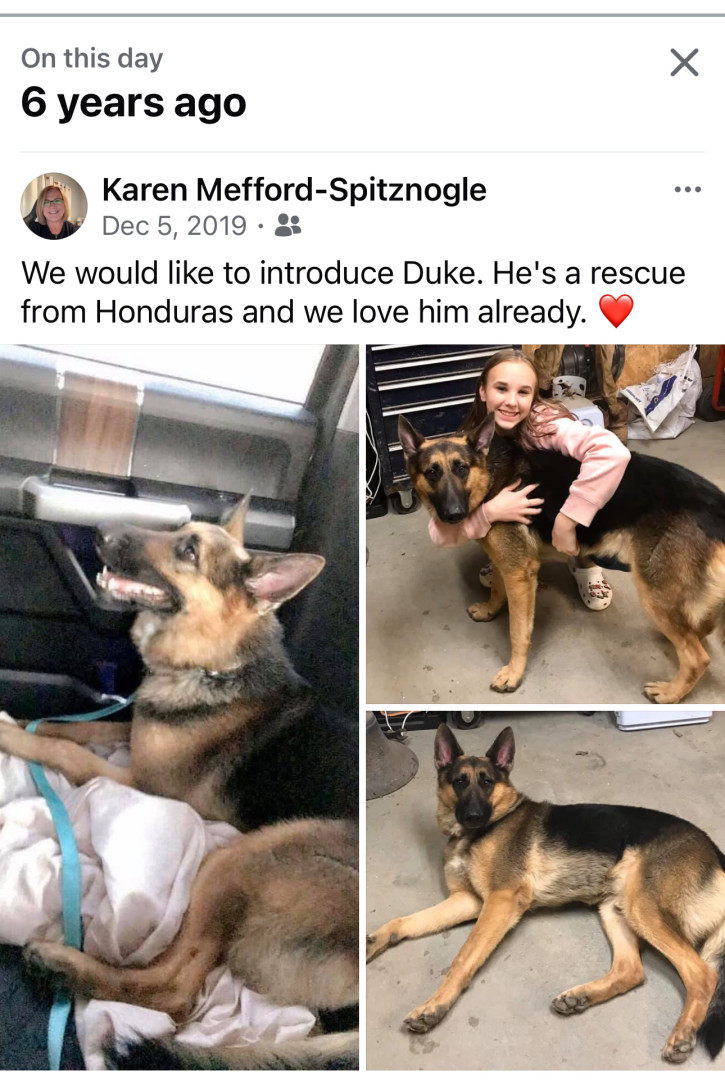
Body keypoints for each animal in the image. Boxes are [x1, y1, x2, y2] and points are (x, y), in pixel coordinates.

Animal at [0, 499, 358, 1069]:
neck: (215, 665)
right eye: (177, 530)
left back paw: (63, 965)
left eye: (188, 551)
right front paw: (30, 722)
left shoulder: (143, 781)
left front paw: (8, 733)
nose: (98, 531)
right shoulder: (136, 729)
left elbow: (68, 751)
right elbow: (78, 728)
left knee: (177, 989)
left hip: (244, 857)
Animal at [366, 723, 725, 1065]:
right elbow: (404, 922)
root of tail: (715, 852)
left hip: (641, 907)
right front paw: (372, 942)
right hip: (616, 907)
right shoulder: (467, 901)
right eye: (458, 782)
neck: (486, 827)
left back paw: (682, 1034)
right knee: (632, 971)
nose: (473, 817)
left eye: (487, 782)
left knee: (702, 974)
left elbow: (462, 958)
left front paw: (434, 1006)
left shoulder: (501, 900)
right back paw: (580, 997)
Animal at [398, 413, 725, 703]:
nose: (454, 515)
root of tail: (717, 507)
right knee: (699, 629)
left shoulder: (520, 573)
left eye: (462, 468)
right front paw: (490, 609)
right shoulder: (510, 565)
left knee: (698, 657)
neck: (491, 476)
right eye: (432, 472)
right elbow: (497, 589)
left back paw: (670, 693)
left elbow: (518, 630)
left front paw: (514, 673)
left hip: (653, 594)